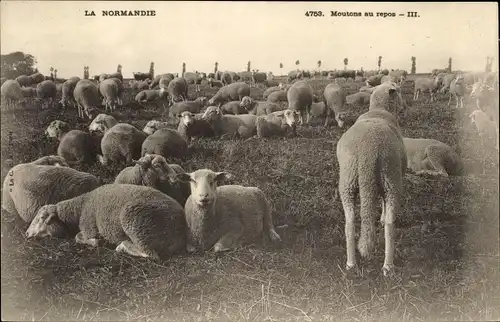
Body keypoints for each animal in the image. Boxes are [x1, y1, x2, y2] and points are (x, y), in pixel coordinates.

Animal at [24, 182, 188, 260]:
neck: (79, 208)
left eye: (40, 218)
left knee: (150, 254)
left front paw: (96, 242)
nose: (26, 234)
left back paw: (122, 246)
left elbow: (78, 237)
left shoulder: (89, 228)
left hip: (135, 222)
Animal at [336, 81, 406, 276]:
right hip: (391, 178)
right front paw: (382, 217)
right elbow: (384, 205)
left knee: (350, 221)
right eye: (399, 91)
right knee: (390, 224)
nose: (404, 107)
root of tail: (368, 150)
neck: (379, 110)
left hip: (348, 181)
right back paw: (388, 266)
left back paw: (351, 263)